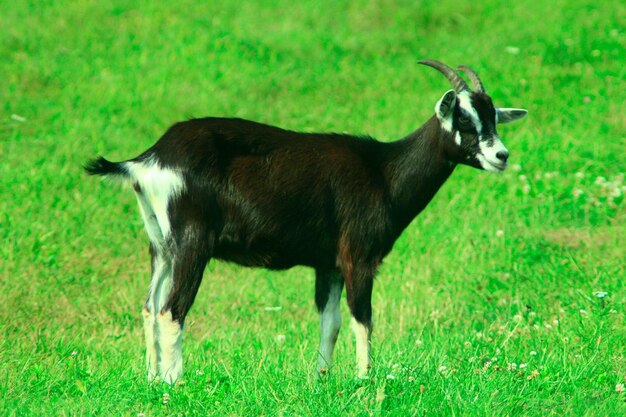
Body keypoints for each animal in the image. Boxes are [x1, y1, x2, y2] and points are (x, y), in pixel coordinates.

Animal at [85, 60, 524, 382]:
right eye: (463, 120)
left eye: (493, 118)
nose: (500, 156)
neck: (383, 172)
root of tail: (148, 159)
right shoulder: (358, 257)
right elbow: (362, 319)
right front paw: (365, 381)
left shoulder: (327, 264)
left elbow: (329, 323)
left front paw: (322, 379)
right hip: (192, 243)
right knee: (171, 310)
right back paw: (174, 383)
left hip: (161, 245)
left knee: (148, 306)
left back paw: (151, 378)